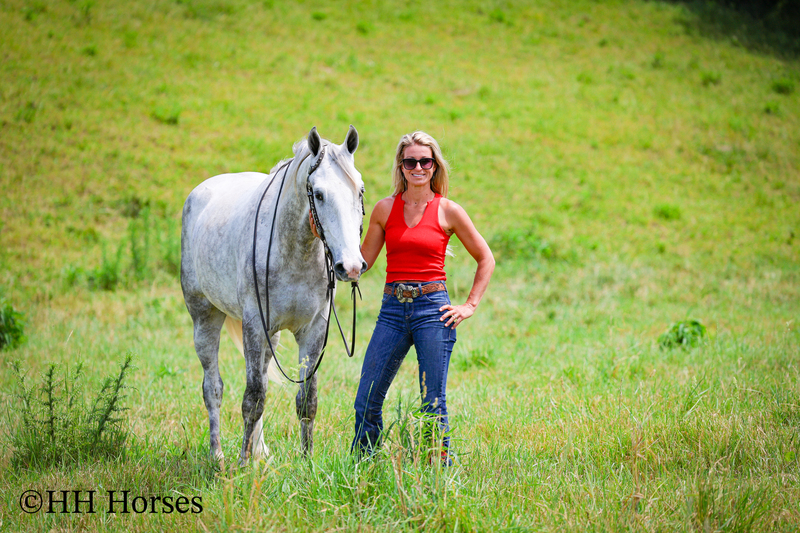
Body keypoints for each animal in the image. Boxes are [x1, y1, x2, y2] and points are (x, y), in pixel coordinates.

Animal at [180, 126, 366, 464]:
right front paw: (242, 464)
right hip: (205, 319)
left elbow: (306, 400)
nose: (351, 266)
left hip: (272, 338)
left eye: (359, 191)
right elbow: (252, 398)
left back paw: (259, 450)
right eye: (319, 194)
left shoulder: (313, 331)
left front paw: (306, 462)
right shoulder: (255, 326)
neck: (295, 250)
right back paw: (218, 455)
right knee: (213, 388)